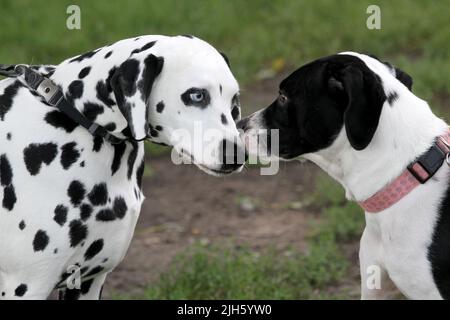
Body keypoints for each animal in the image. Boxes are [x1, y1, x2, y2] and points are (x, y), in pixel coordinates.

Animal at [0, 35, 244, 300]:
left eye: (234, 101)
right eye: (197, 95)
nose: (237, 155)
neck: (77, 116)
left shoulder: (87, 281)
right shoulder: (26, 287)